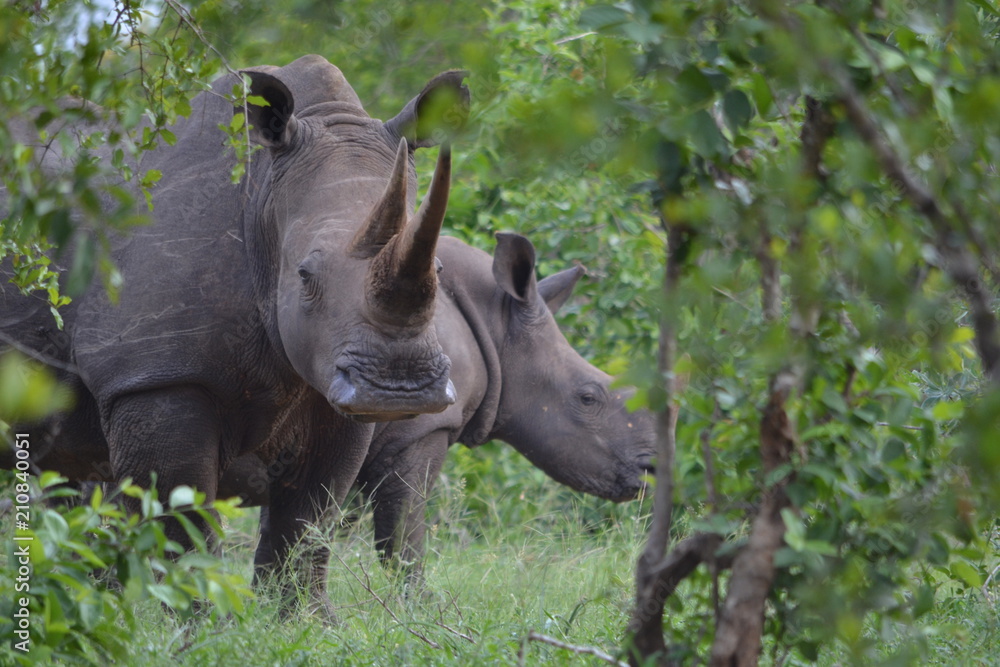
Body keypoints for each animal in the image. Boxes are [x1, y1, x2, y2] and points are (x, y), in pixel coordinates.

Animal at [0, 55, 470, 615]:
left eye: (440, 269)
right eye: (304, 277)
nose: (399, 389)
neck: (263, 195)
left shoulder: (328, 385)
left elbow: (310, 515)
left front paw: (302, 621)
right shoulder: (155, 375)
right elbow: (180, 513)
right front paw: (201, 621)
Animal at [220, 232, 656, 585]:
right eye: (588, 398)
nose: (651, 469)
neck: (499, 326)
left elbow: (280, 526)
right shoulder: (422, 427)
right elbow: (402, 534)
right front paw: (417, 610)